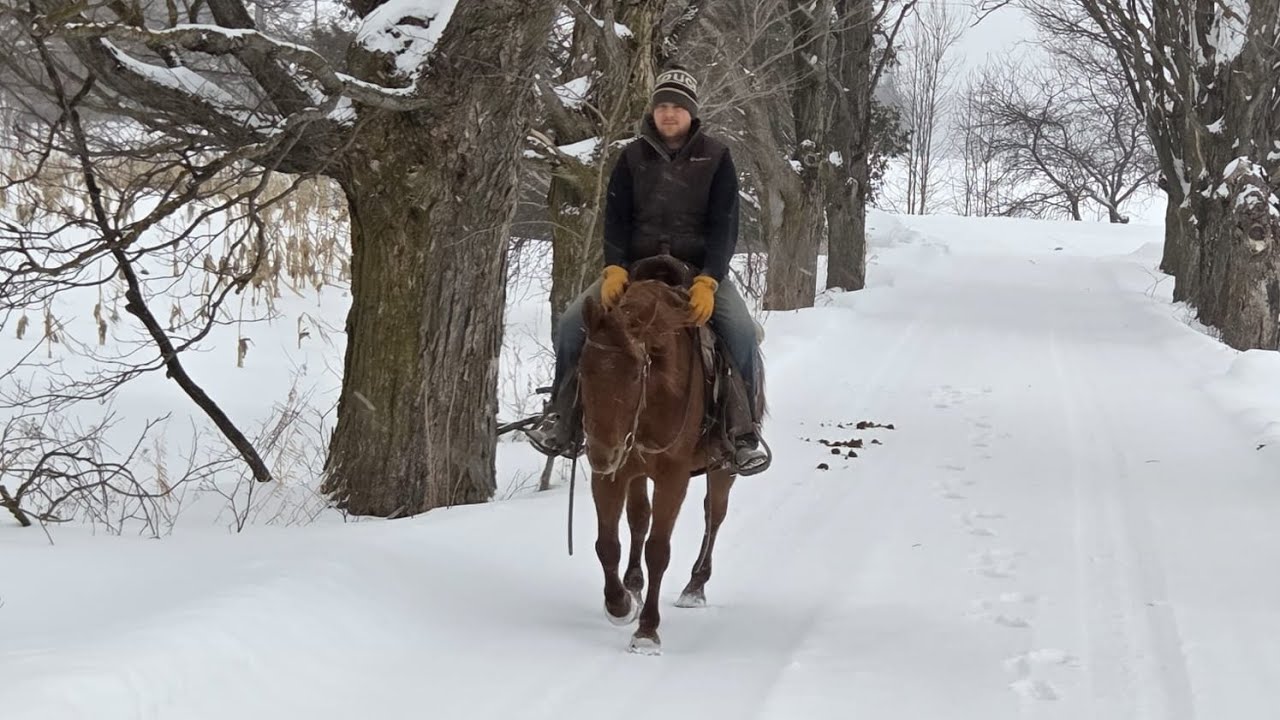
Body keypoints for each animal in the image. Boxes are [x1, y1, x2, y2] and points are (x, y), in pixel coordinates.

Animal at [576, 255, 745, 655]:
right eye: (582, 371)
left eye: (636, 375)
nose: (601, 454)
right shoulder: (614, 474)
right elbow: (608, 543)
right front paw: (620, 603)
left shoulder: (672, 475)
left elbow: (658, 550)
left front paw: (647, 631)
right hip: (636, 470)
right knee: (639, 517)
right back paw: (634, 585)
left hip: (722, 470)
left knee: (714, 516)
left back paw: (695, 586)